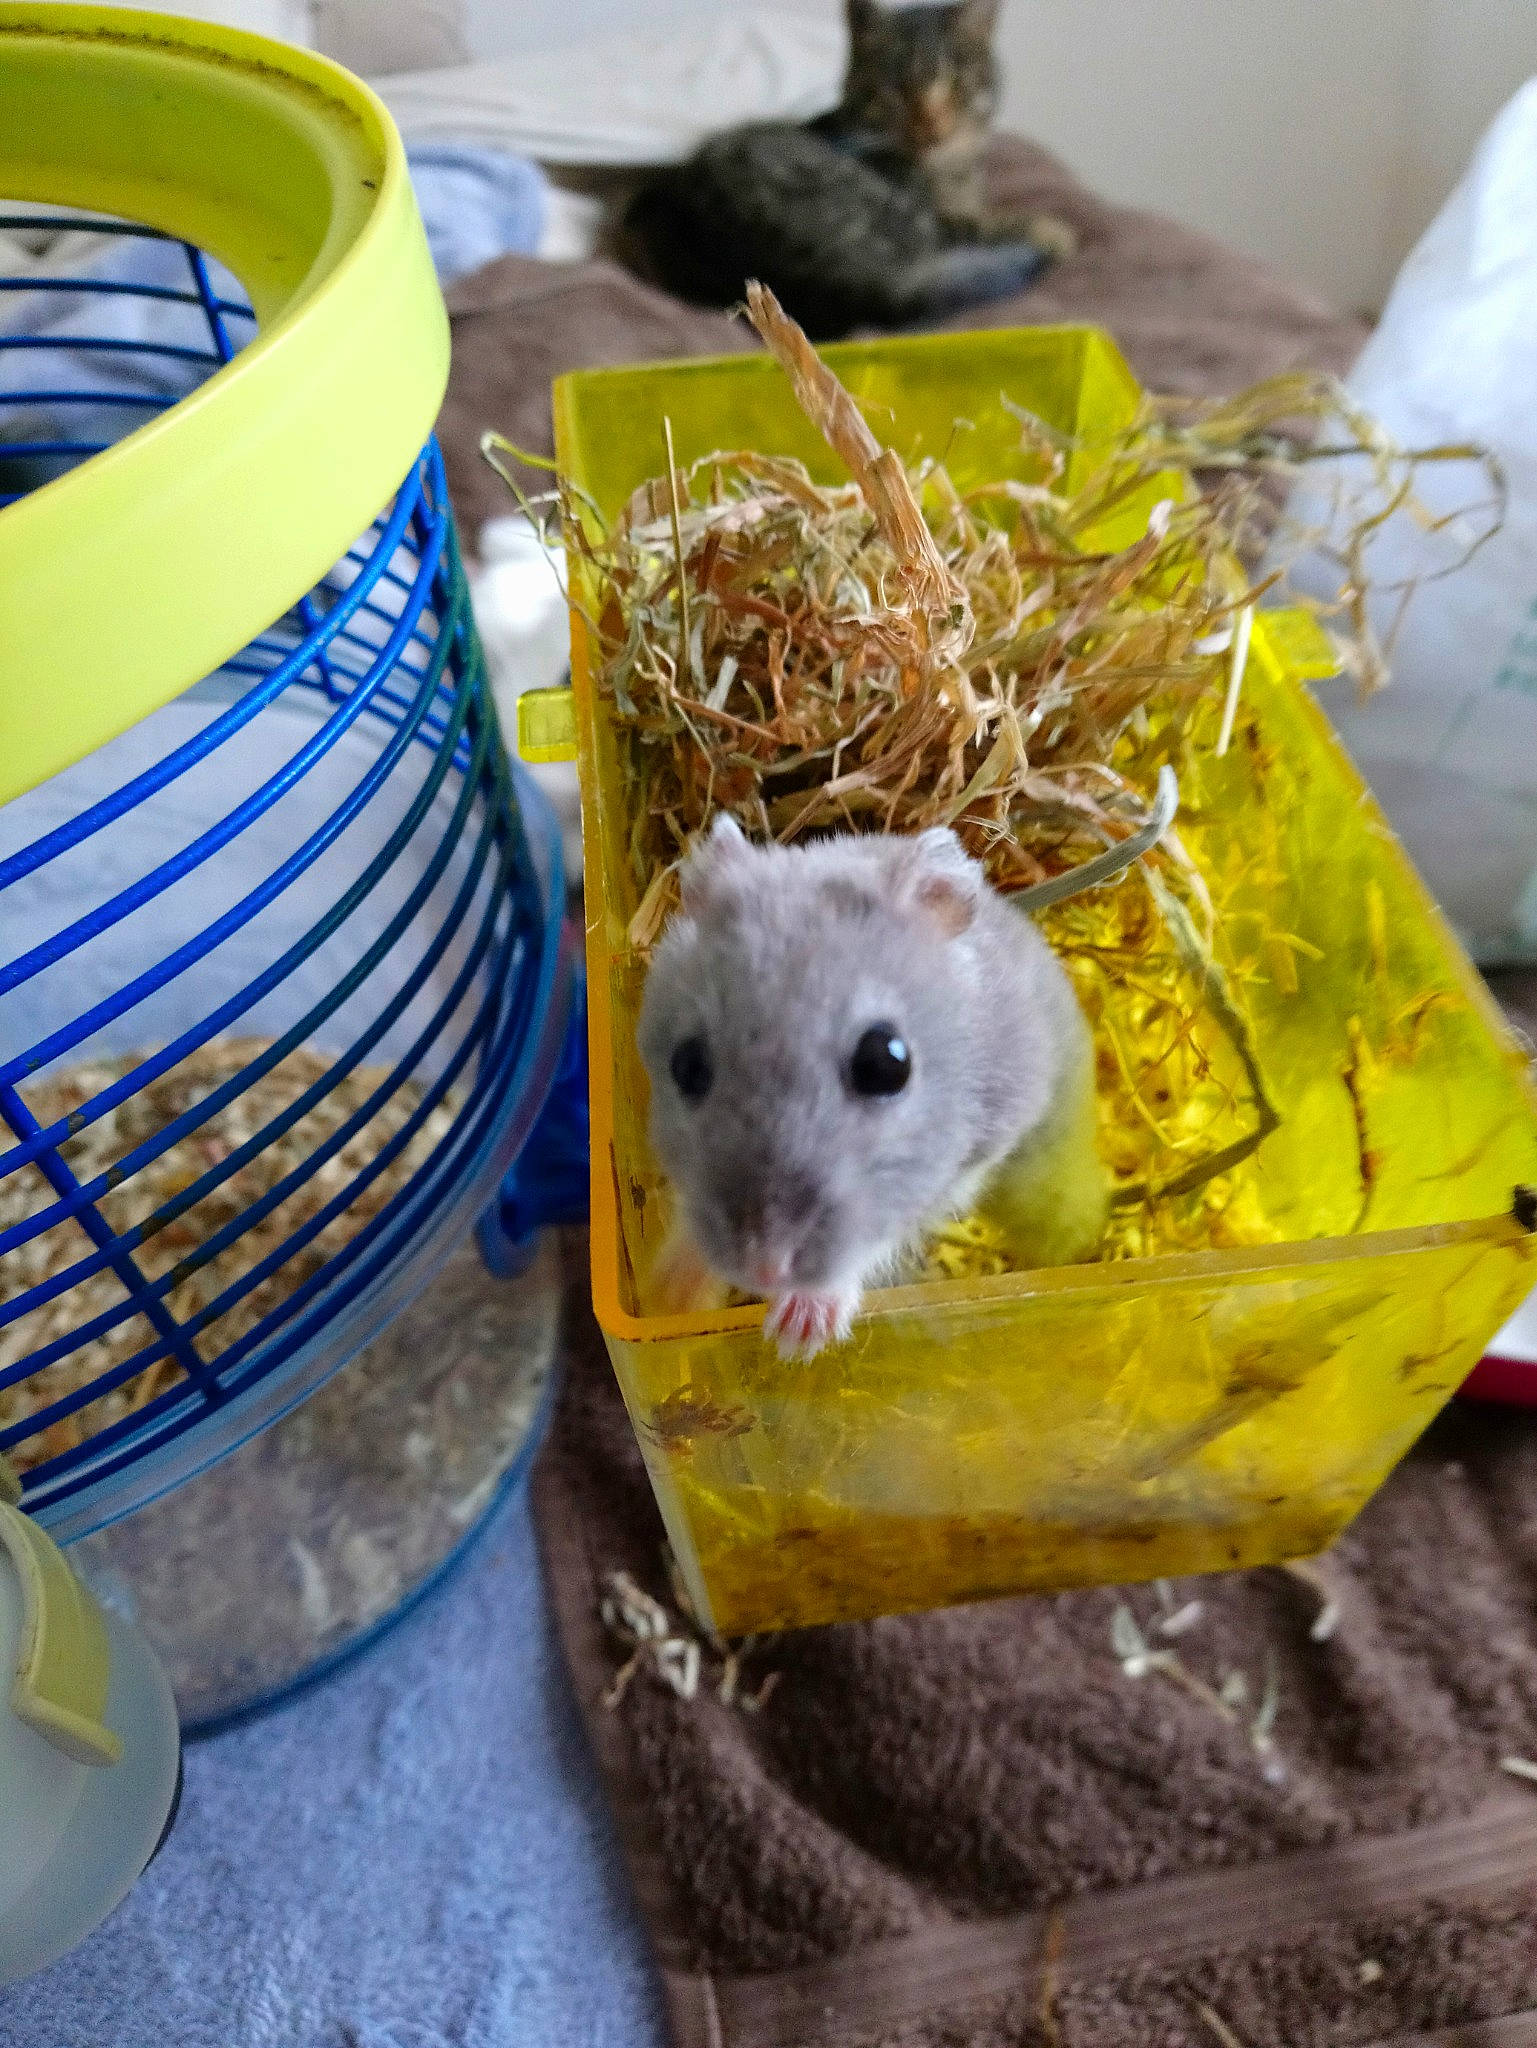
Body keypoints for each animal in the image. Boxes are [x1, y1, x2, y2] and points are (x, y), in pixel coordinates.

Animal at [636, 815, 1107, 1357]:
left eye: (886, 1064)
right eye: (686, 1066)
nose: (764, 1269)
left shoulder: (962, 1166)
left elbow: (878, 1238)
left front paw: (797, 1339)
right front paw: (667, 1296)